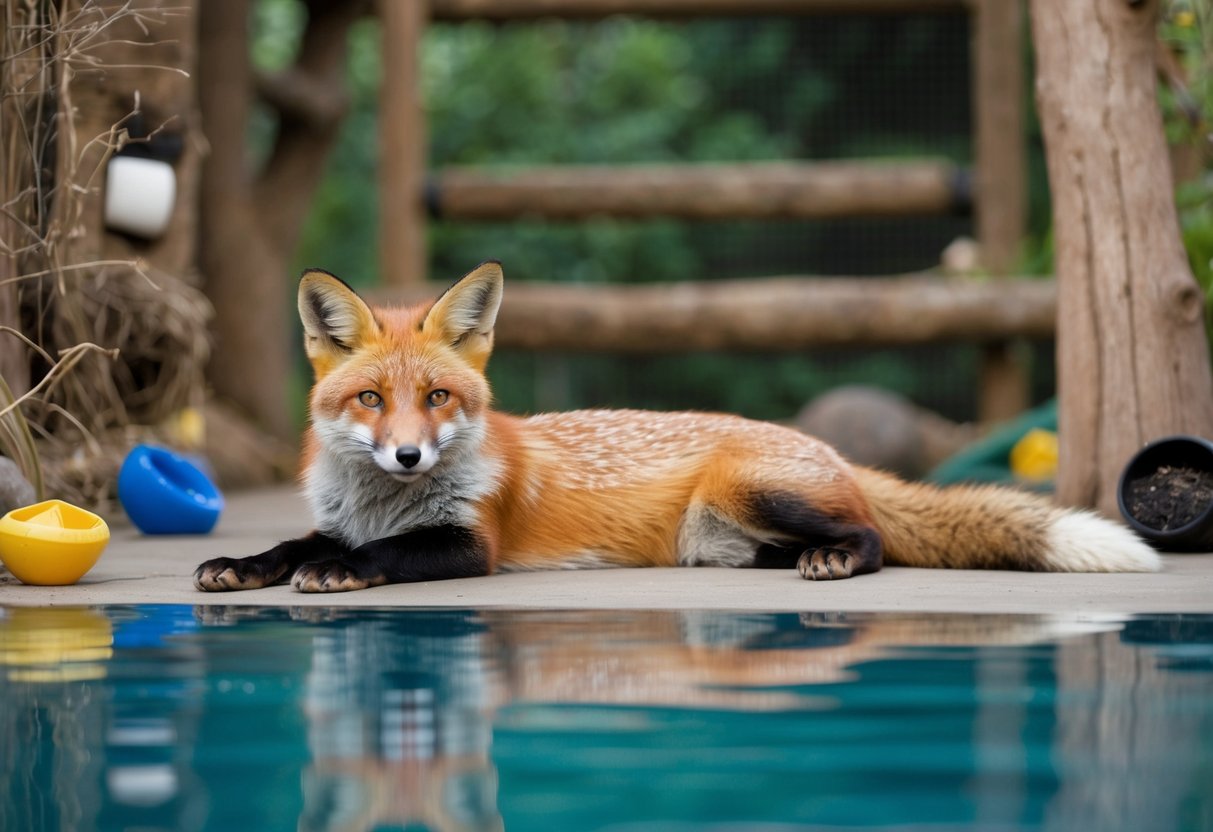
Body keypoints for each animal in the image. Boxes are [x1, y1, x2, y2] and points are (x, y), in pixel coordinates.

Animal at [194, 261, 1161, 594]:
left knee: (877, 534)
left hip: (756, 489)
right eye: (370, 401)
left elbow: (380, 555)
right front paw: (244, 563)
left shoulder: (471, 543)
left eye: (436, 399)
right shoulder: (342, 516)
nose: (404, 454)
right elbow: (296, 541)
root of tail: (826, 448)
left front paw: (334, 573)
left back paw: (837, 559)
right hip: (724, 537)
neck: (385, 501)